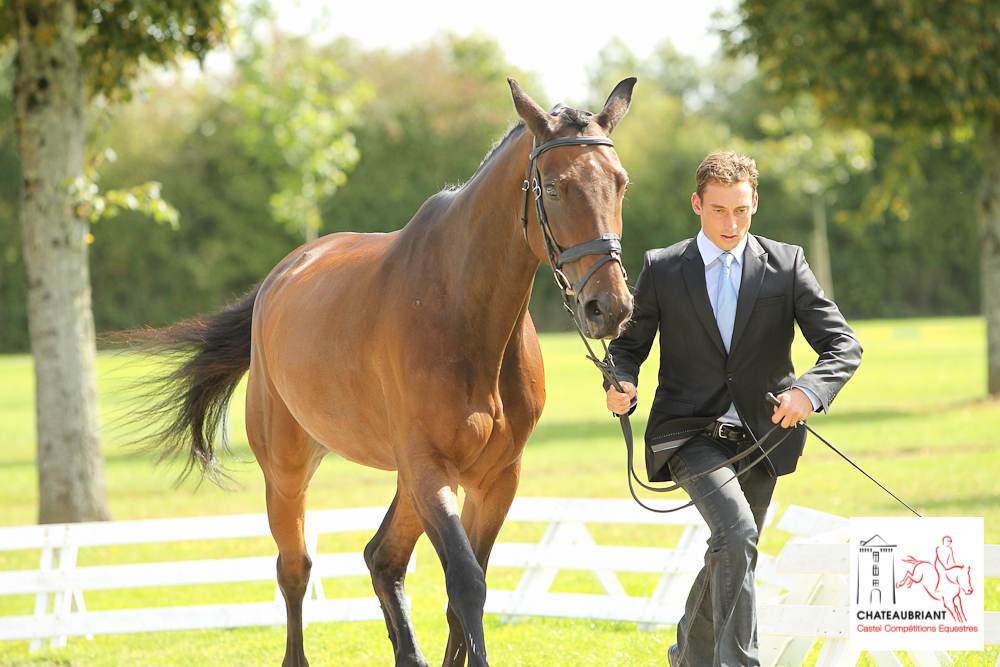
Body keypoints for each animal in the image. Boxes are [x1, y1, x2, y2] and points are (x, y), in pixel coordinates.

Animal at [125, 79, 636, 667]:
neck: (462, 310)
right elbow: (467, 584)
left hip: (405, 481)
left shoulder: (495, 476)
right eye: (553, 188)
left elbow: (464, 590)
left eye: (620, 183)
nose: (609, 307)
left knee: (381, 557)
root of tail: (279, 278)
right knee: (295, 569)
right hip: (289, 471)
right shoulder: (429, 469)